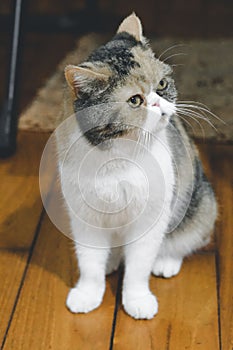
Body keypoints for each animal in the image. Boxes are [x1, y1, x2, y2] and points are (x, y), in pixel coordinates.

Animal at [55, 13, 218, 320]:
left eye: (162, 84)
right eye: (135, 100)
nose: (158, 104)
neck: (119, 159)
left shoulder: (151, 217)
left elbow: (139, 265)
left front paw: (137, 300)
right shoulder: (85, 215)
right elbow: (89, 261)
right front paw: (87, 294)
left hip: (201, 205)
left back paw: (166, 261)